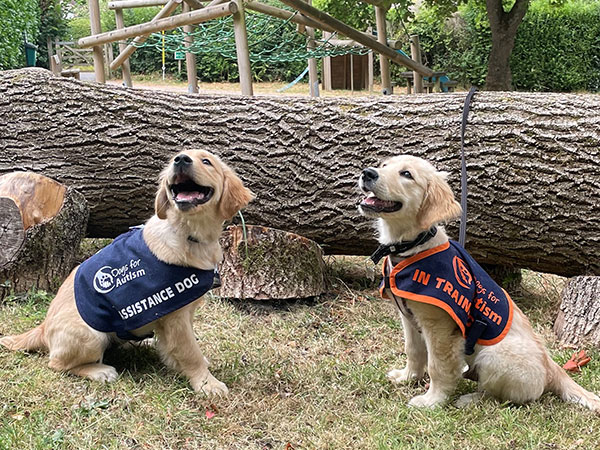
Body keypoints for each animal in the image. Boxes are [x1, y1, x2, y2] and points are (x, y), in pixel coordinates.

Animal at [0, 149, 253, 396]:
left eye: (207, 161)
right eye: (176, 157)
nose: (180, 160)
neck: (188, 234)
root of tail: (43, 328)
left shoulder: (183, 314)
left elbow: (180, 348)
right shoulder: (176, 317)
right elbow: (191, 352)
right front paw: (207, 384)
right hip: (91, 335)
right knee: (56, 363)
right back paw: (100, 371)